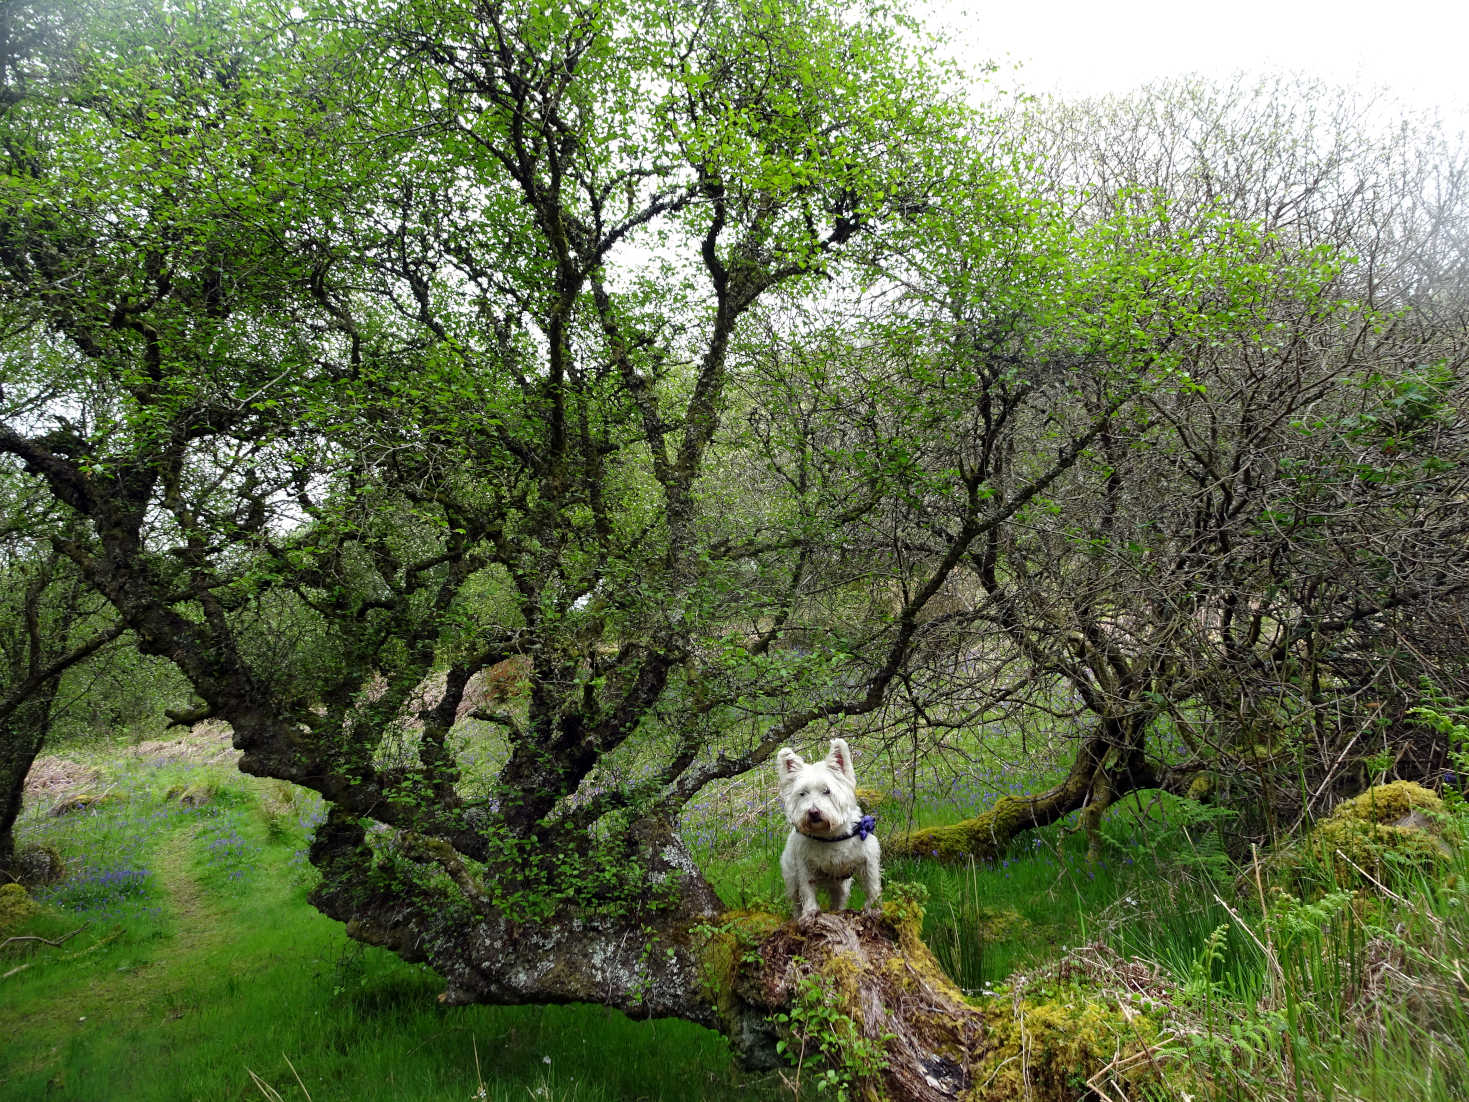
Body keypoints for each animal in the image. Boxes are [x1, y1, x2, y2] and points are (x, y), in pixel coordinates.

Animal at [775, 743, 875, 922]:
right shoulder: (805, 865)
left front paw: (871, 909)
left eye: (827, 790)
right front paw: (810, 912)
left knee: (839, 899)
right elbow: (807, 889)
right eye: (802, 793)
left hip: (841, 886)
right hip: (791, 877)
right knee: (796, 900)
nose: (813, 812)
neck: (829, 836)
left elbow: (872, 885)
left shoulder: (868, 857)